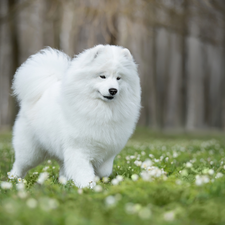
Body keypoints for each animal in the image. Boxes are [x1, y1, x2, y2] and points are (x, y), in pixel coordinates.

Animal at [10, 44, 142, 188]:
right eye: (102, 76)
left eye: (119, 78)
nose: (113, 90)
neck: (100, 110)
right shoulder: (78, 149)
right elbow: (83, 171)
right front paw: (88, 187)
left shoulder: (108, 151)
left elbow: (104, 170)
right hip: (31, 152)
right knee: (20, 165)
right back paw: (13, 179)